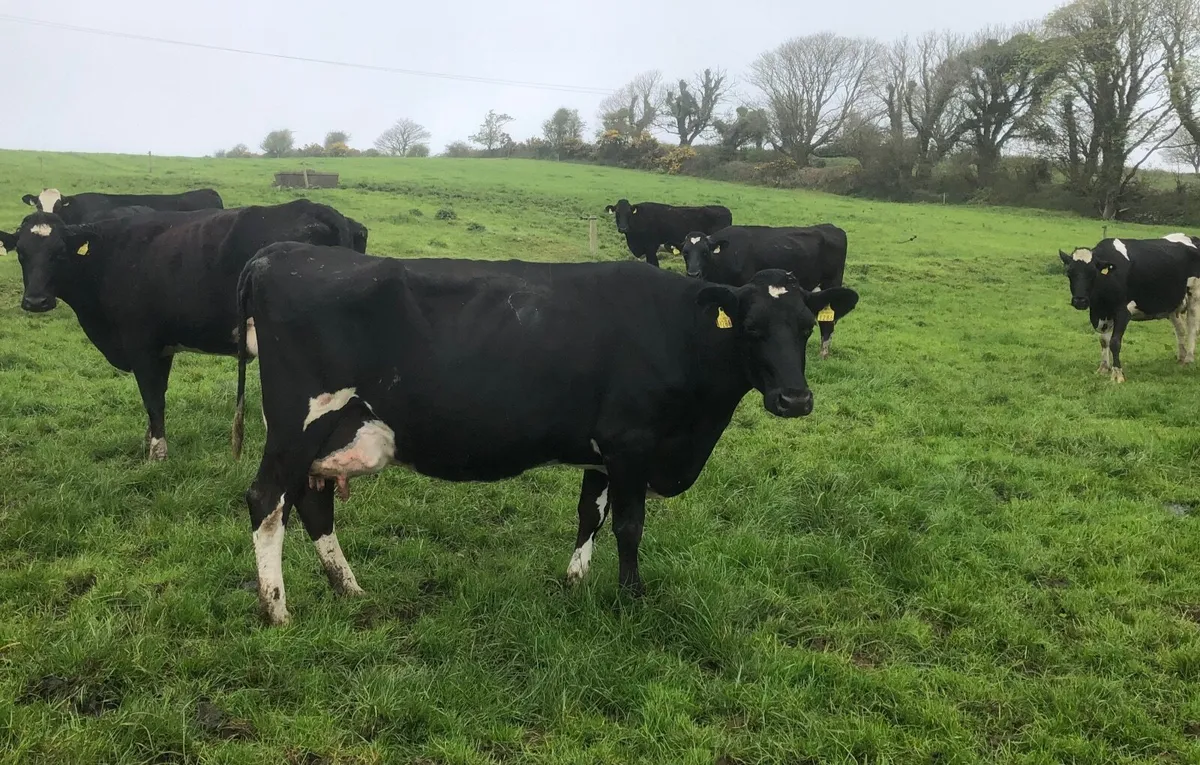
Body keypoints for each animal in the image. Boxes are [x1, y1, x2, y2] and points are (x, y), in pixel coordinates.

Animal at [0, 199, 361, 460]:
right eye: (21, 253)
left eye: (59, 252)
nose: (36, 301)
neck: (111, 256)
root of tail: (319, 209)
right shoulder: (162, 346)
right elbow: (158, 392)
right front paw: (149, 441)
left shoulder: (140, 343)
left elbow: (152, 398)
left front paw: (157, 454)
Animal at [231, 244, 860, 625]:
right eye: (750, 328)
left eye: (807, 327)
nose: (795, 399)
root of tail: (280, 252)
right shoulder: (632, 443)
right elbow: (629, 525)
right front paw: (631, 599)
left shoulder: (602, 452)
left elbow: (591, 515)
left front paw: (575, 582)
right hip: (298, 422)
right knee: (267, 501)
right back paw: (277, 611)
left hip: (328, 434)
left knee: (311, 503)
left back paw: (349, 589)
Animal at [679, 224, 851, 359]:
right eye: (685, 253)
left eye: (705, 252)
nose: (693, 274)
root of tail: (831, 227)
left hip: (830, 285)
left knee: (827, 323)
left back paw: (823, 355)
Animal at [1059, 233, 1200, 382]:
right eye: (1069, 273)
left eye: (1093, 273)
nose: (1080, 300)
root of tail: (1191, 237)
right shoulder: (1100, 312)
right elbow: (1103, 341)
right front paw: (1103, 368)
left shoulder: (1122, 312)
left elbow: (1115, 342)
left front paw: (1117, 374)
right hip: (1173, 304)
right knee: (1180, 330)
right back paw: (1181, 358)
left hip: (1194, 296)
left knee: (1192, 327)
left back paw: (1189, 359)